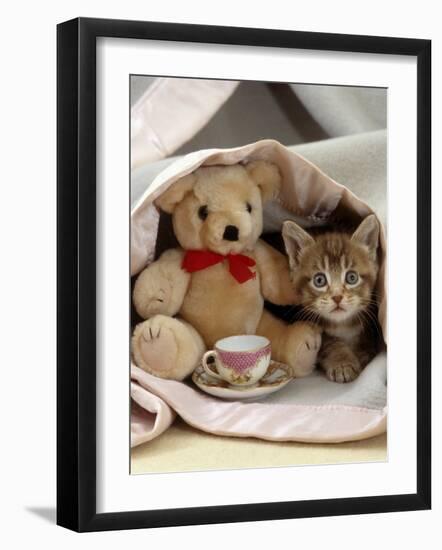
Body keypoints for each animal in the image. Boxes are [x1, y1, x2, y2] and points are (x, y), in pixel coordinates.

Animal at [284, 216, 380, 384]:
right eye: (319, 280)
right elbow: (329, 343)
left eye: (352, 277)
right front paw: (342, 363)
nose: (337, 297)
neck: (343, 325)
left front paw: (362, 353)